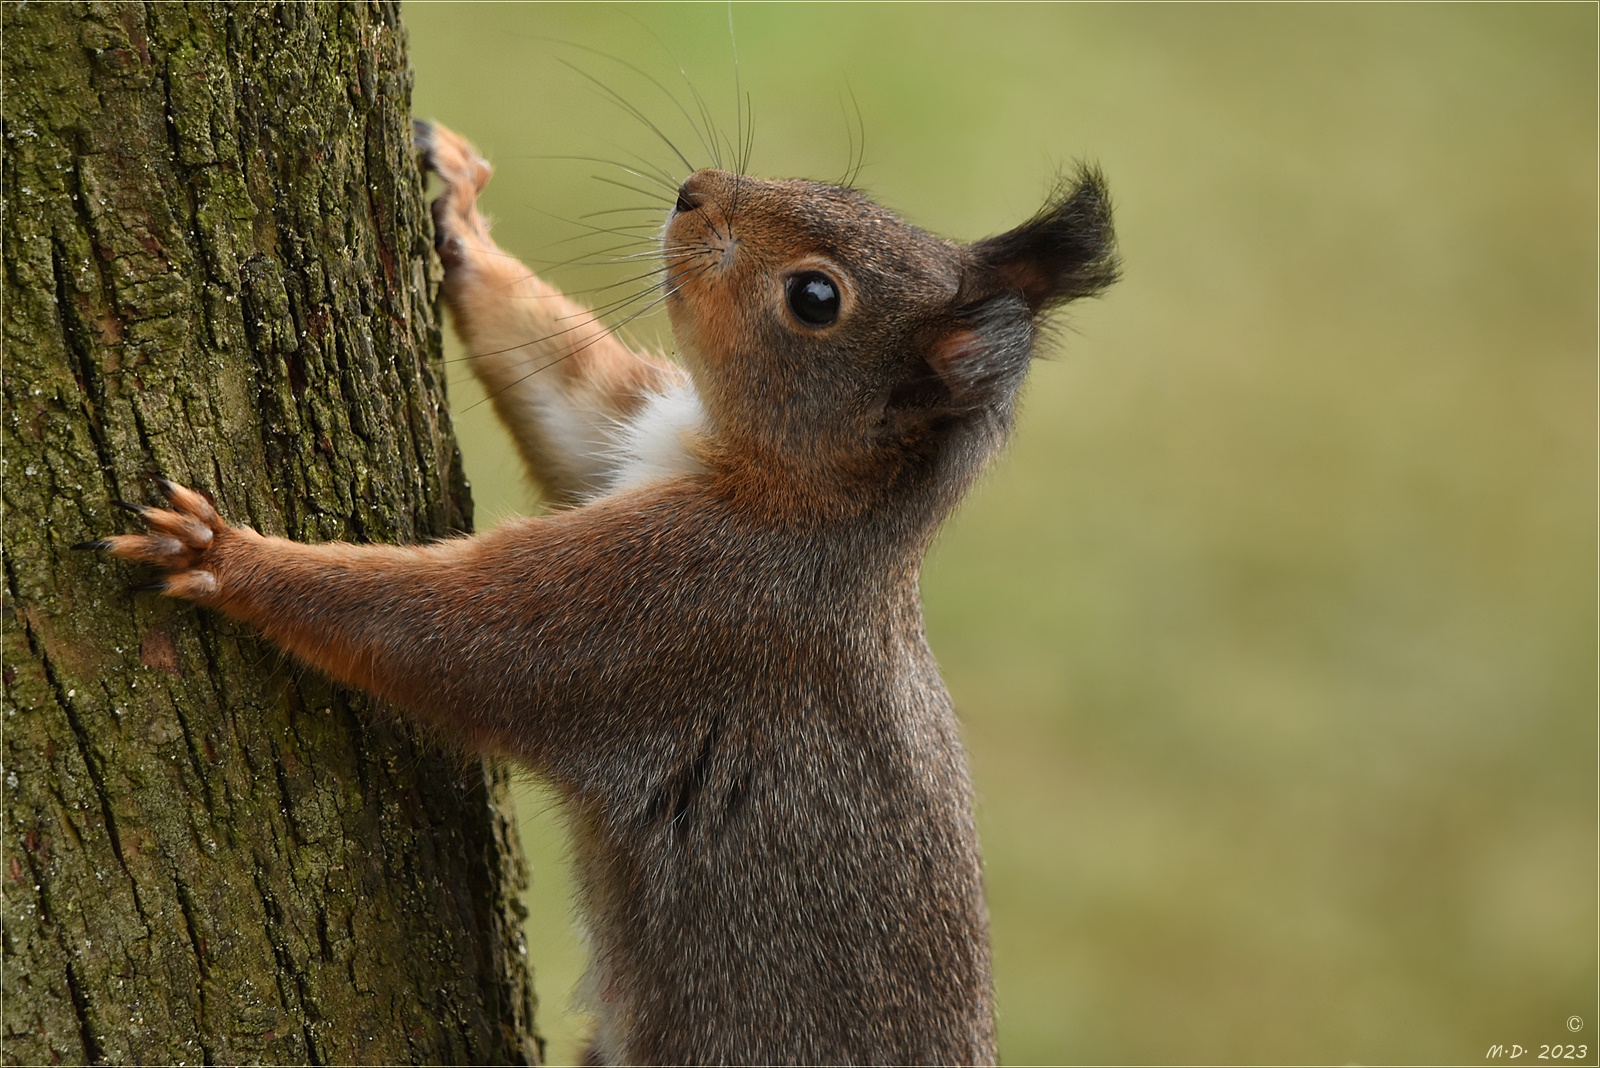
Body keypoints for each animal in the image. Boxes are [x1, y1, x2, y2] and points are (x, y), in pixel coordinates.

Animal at [87, 120, 1113, 1061]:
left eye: (816, 297)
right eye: (840, 189)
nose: (695, 192)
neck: (808, 499)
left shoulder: (676, 606)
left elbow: (464, 635)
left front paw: (227, 555)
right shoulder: (631, 438)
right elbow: (573, 395)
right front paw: (460, 215)